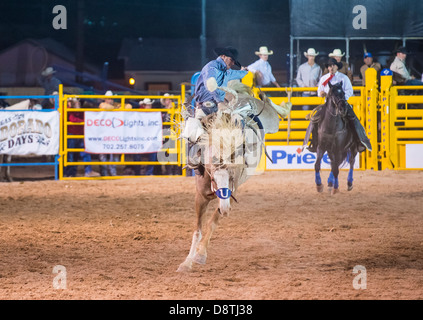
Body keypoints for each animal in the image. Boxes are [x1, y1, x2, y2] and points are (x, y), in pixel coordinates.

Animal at [177, 79, 294, 272]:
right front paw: (187, 262)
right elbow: (198, 230)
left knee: (271, 107)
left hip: (271, 119)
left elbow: (212, 222)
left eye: (232, 177)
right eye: (214, 176)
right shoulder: (200, 197)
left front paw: (200, 255)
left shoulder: (232, 195)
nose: (225, 208)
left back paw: (279, 101)